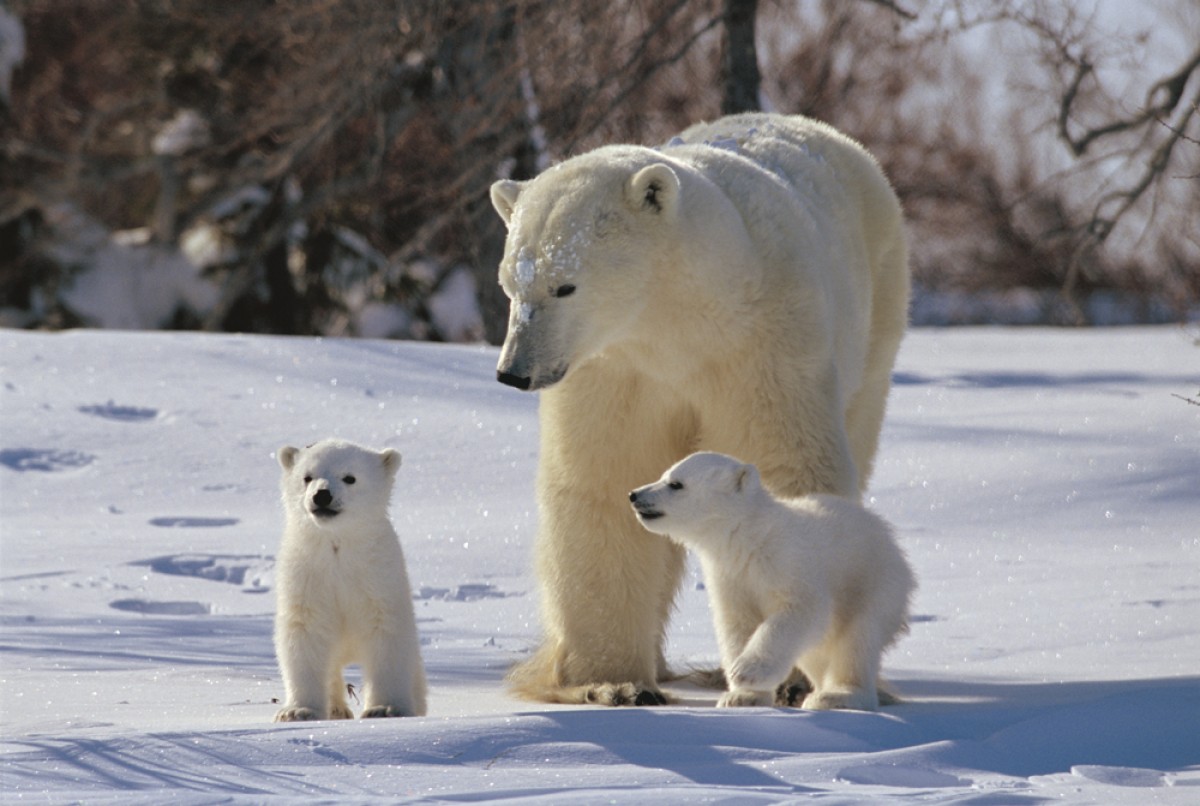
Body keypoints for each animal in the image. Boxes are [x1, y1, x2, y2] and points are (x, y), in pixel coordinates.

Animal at [272, 436, 427, 719]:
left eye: (350, 478)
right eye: (307, 477)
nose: (322, 495)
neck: (337, 546)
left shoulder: (377, 577)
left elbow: (386, 634)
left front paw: (385, 708)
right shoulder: (307, 576)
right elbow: (304, 634)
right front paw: (297, 711)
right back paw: (336, 709)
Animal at [628, 453, 907, 710]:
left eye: (676, 484)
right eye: (664, 474)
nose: (634, 494)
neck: (751, 537)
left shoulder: (789, 562)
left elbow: (801, 611)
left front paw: (746, 671)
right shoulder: (731, 577)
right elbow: (738, 625)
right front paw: (741, 696)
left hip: (873, 583)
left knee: (855, 641)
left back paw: (836, 696)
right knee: (817, 653)